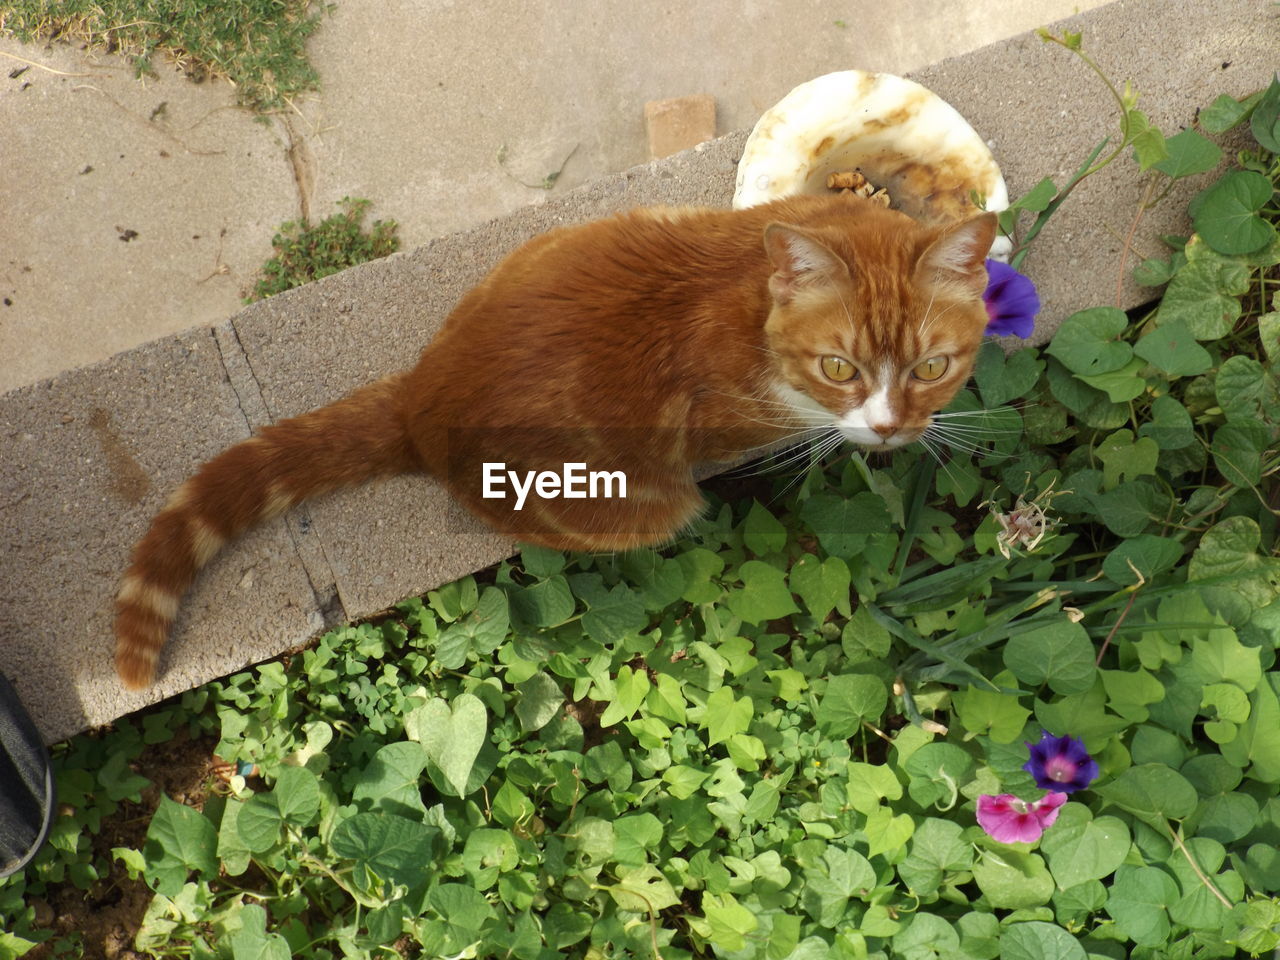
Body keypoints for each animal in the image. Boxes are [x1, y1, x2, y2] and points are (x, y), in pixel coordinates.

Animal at [115, 195, 993, 686]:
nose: (890, 427)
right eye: (839, 367)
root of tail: (421, 398)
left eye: (933, 367)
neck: (754, 297)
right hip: (641, 507)